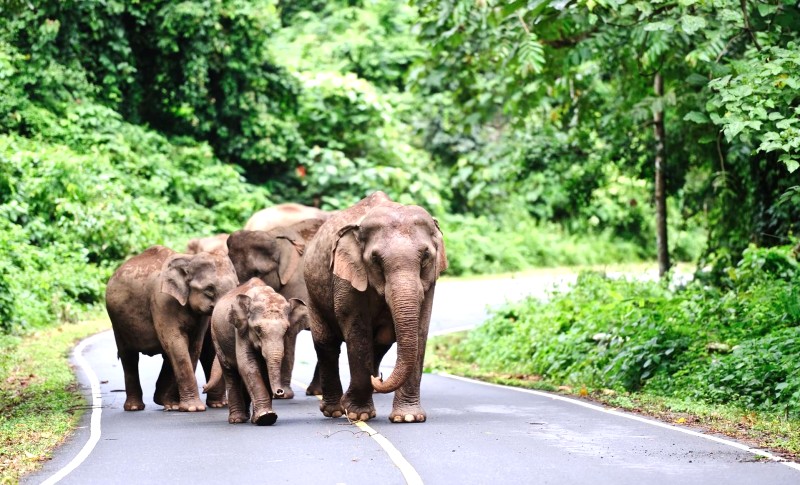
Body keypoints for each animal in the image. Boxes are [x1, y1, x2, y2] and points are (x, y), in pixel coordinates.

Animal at [225, 217, 324, 396]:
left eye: (258, 272)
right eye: (233, 270)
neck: (275, 235)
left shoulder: (301, 283)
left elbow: (290, 333)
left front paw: (283, 394)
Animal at [302, 191, 446, 422]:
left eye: (426, 256)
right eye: (375, 259)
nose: (379, 378)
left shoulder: (430, 282)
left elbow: (421, 330)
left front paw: (408, 418)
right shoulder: (346, 278)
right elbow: (357, 331)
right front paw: (358, 414)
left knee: (381, 343)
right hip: (313, 294)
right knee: (326, 344)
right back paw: (334, 411)